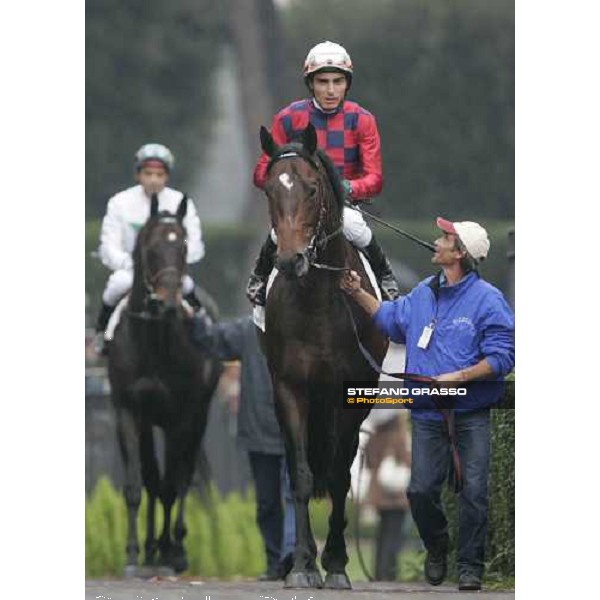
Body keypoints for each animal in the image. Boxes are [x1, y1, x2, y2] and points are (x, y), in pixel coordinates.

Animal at [106, 195, 221, 576]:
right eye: (151, 247)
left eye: (183, 246)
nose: (169, 303)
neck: (153, 338)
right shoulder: (129, 411)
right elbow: (137, 484)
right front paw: (132, 553)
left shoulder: (180, 416)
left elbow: (175, 483)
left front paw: (172, 552)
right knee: (154, 478)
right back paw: (152, 549)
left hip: (198, 416)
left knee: (181, 477)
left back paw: (174, 549)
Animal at [258, 123, 390, 592]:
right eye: (269, 190)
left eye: (312, 189)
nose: (290, 259)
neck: (317, 299)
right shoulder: (290, 387)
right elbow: (301, 475)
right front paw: (302, 565)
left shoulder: (349, 393)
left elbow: (338, 477)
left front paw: (335, 565)